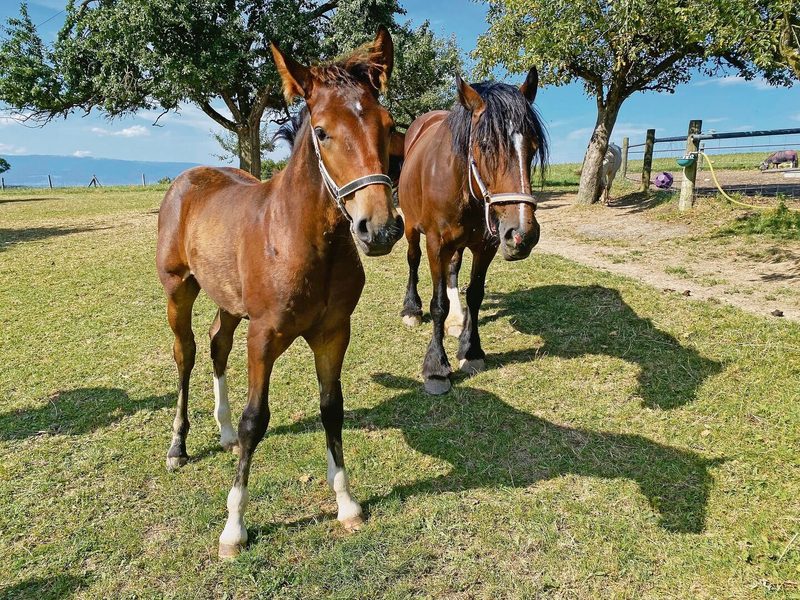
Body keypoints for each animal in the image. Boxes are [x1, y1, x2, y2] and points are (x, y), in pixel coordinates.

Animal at [155, 27, 403, 559]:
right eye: (323, 131)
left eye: (388, 124)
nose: (379, 229)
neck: (298, 237)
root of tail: (188, 178)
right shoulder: (264, 336)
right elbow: (257, 419)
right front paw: (233, 528)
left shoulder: (333, 333)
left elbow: (332, 408)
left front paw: (347, 505)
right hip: (178, 290)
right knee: (186, 354)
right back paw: (178, 447)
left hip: (229, 302)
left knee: (216, 343)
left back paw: (223, 432)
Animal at [397, 69, 548, 394]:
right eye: (487, 145)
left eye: (531, 148)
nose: (523, 234)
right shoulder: (436, 244)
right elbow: (437, 304)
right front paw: (436, 367)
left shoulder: (485, 245)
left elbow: (475, 294)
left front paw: (472, 349)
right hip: (412, 228)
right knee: (413, 260)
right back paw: (411, 309)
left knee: (453, 270)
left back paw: (456, 321)